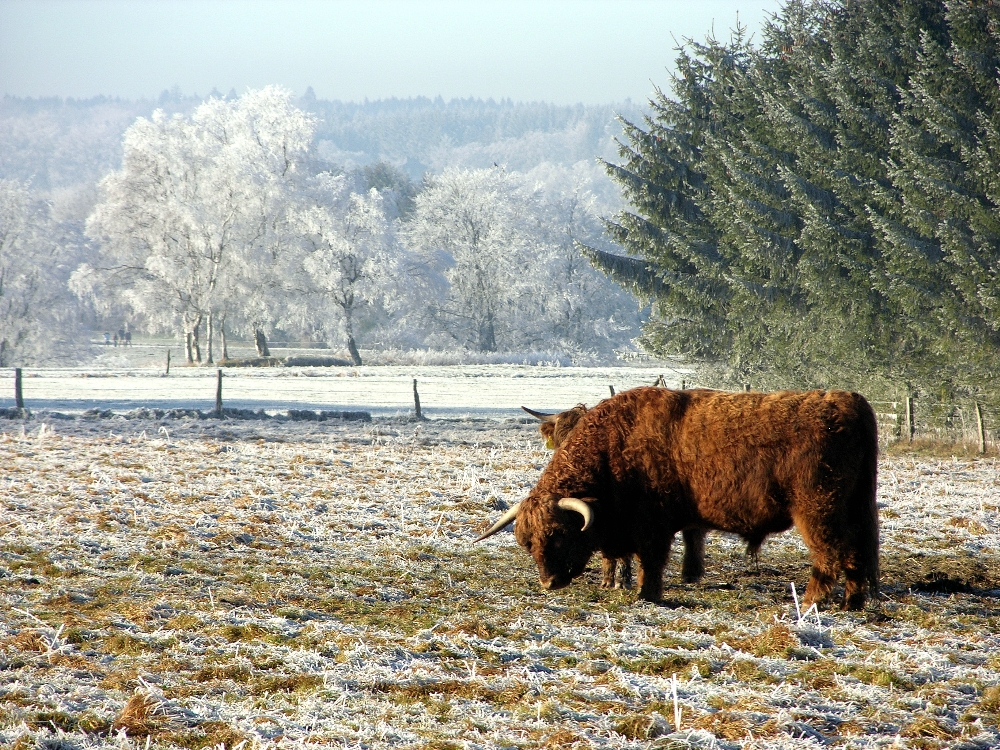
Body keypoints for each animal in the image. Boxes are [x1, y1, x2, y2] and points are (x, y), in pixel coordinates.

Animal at [488, 388, 880, 612]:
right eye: (528, 542)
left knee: (830, 551)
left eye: (559, 534)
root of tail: (848, 401)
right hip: (858, 505)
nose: (549, 582)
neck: (614, 447)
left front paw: (645, 594)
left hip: (817, 509)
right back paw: (853, 601)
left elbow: (651, 561)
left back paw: (812, 601)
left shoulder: (653, 526)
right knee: (859, 550)